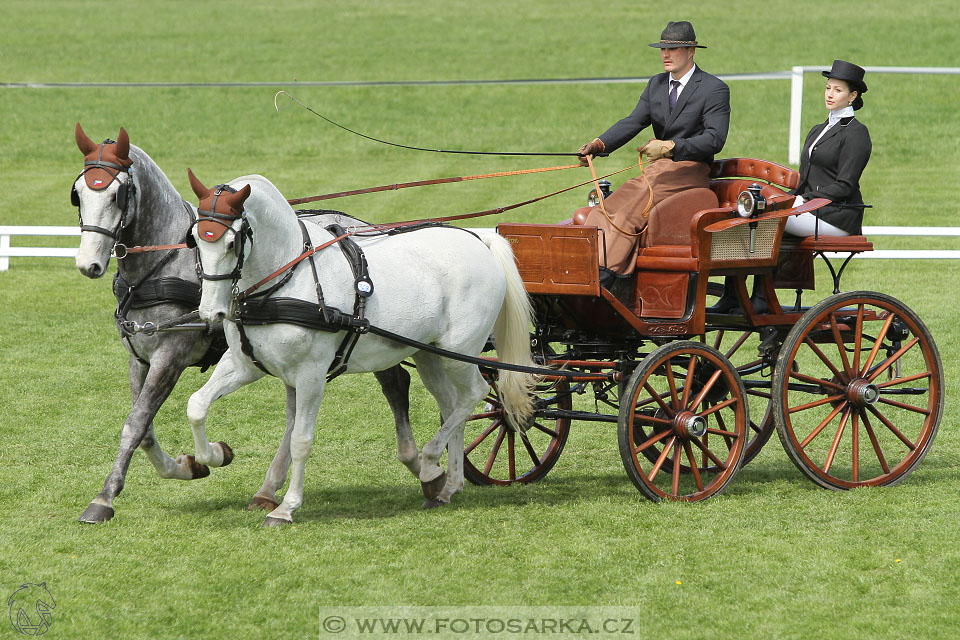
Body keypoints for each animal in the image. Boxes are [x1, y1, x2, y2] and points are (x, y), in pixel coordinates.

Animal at [184, 170, 536, 524]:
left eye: (232, 243)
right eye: (196, 240)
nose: (211, 313)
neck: (286, 278)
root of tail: (479, 239)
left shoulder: (311, 374)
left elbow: (300, 440)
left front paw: (287, 507)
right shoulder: (244, 364)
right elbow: (196, 405)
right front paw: (213, 455)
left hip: (459, 354)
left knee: (474, 393)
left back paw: (429, 465)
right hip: (429, 354)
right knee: (453, 404)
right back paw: (448, 484)